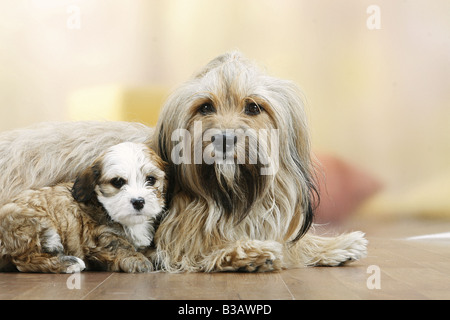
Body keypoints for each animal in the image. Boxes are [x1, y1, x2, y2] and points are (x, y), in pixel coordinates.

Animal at [0, 142, 165, 272]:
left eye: (151, 179)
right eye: (118, 182)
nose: (138, 201)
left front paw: (157, 255)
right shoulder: (99, 235)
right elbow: (118, 244)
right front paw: (137, 259)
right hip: (36, 224)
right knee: (25, 261)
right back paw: (69, 263)